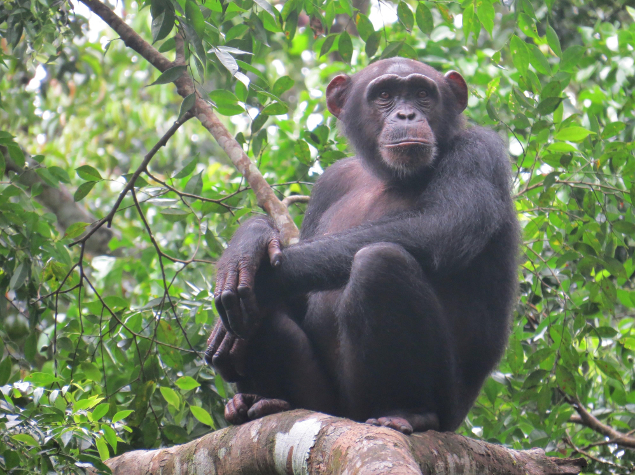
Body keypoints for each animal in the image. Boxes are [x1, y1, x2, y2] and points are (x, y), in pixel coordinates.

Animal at [204, 58, 516, 436]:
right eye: (384, 95)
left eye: (422, 93)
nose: (407, 114)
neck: (386, 176)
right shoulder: (330, 182)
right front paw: (248, 240)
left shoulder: (479, 150)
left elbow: (444, 225)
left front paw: (258, 270)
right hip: (323, 403)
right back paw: (262, 401)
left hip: (443, 407)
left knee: (379, 264)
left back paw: (408, 411)